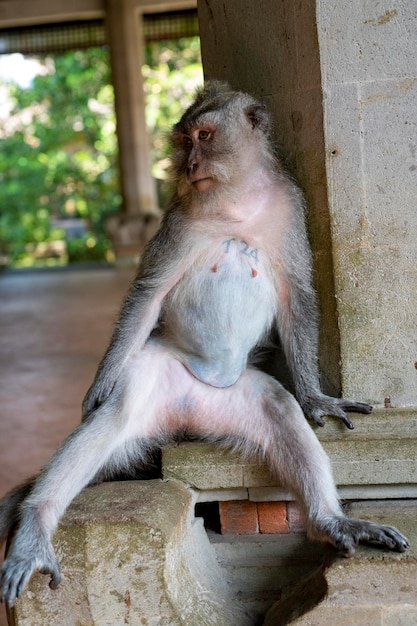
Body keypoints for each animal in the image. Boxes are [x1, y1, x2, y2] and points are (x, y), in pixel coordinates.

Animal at [0, 80, 410, 608]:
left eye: (205, 135)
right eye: (184, 140)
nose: (190, 163)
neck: (236, 203)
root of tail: (183, 416)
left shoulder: (290, 204)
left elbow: (297, 293)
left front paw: (315, 396)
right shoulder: (179, 220)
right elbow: (148, 294)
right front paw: (99, 381)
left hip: (227, 399)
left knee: (280, 409)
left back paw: (331, 521)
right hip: (154, 369)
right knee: (118, 413)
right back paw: (36, 522)